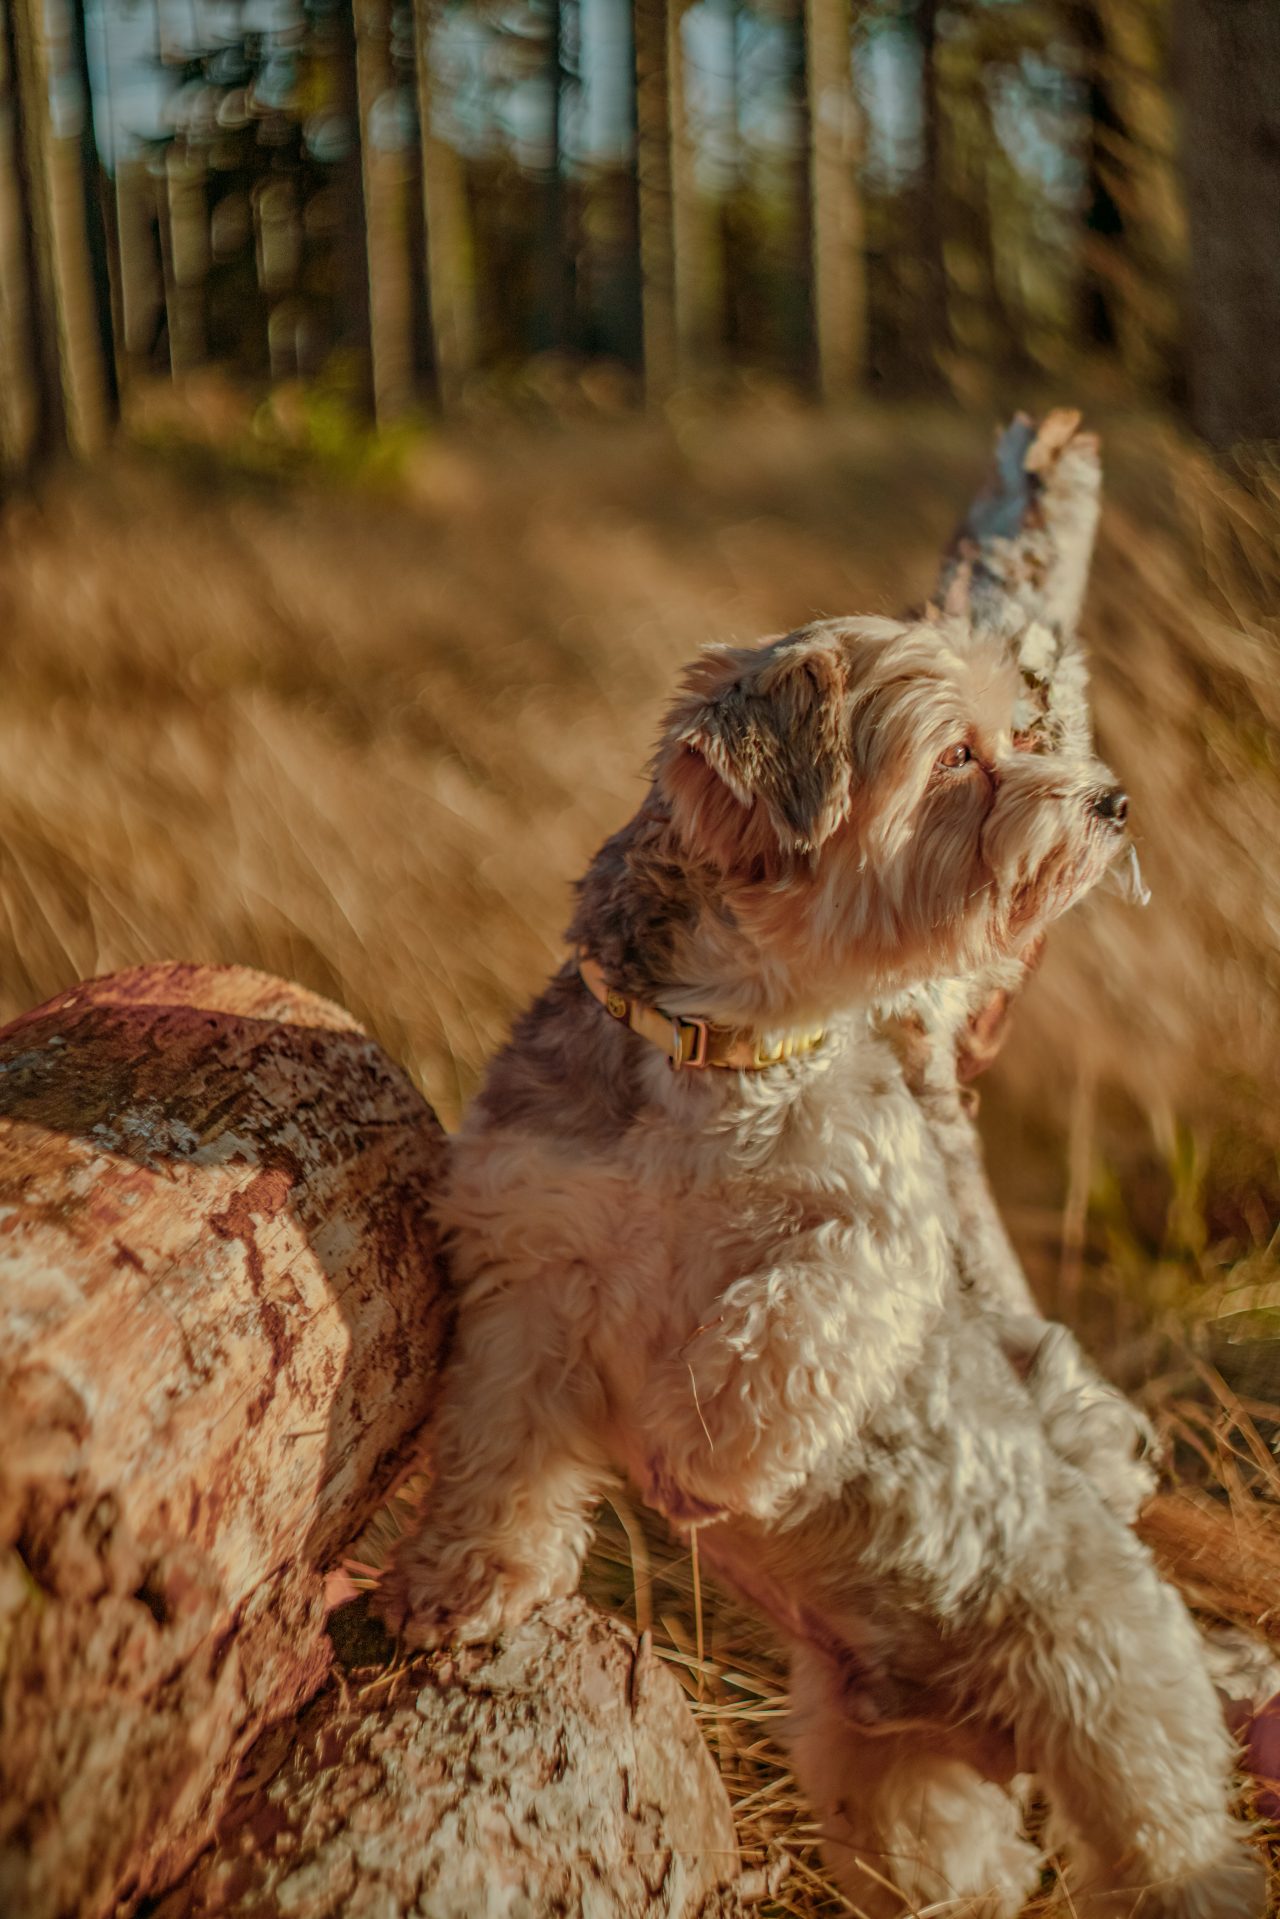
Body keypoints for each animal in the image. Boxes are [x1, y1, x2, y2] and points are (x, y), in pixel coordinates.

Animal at [379, 606, 1258, 1911]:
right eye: (957, 757)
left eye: (1016, 734)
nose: (1108, 799)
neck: (717, 1047)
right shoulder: (526, 1261)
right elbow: (499, 1448)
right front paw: (464, 1579)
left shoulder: (882, 1236)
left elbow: (791, 1314)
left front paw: (704, 1449)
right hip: (883, 1785)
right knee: (971, 1866)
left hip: (1124, 1726)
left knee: (1183, 1854)